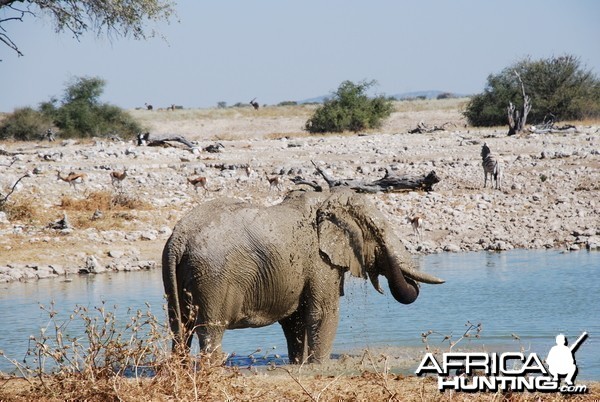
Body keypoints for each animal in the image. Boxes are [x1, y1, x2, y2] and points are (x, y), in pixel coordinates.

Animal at [162, 187, 442, 362]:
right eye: (378, 231)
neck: (327, 199)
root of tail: (179, 239)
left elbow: (295, 321)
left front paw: (300, 365)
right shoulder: (319, 261)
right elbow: (323, 313)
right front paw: (320, 366)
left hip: (175, 274)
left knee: (179, 329)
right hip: (214, 278)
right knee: (211, 329)